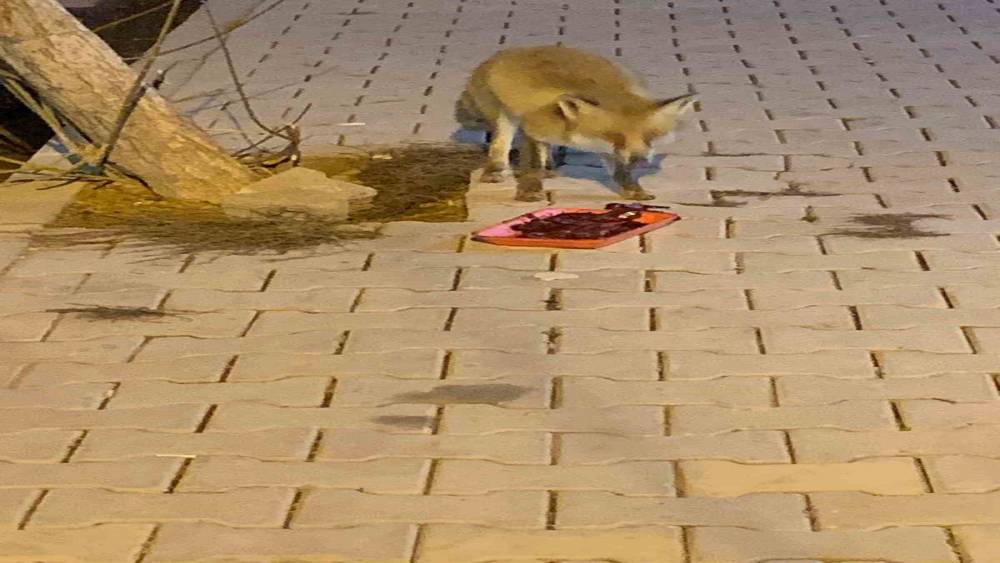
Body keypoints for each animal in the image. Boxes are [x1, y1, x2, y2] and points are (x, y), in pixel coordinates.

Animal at [456, 45, 696, 202]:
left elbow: (620, 171)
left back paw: (549, 168)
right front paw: (530, 191)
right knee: (499, 145)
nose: (639, 159)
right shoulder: (532, 128)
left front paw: (633, 190)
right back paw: (496, 169)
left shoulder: (610, 150)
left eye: (650, 136)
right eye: (615, 136)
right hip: (506, 117)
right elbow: (532, 165)